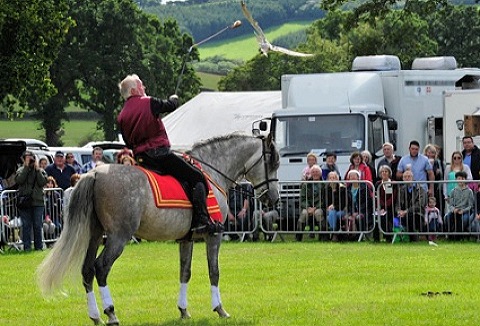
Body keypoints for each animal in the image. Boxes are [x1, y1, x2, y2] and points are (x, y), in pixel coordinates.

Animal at [37, 134, 280, 324]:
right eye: (274, 162)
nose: (274, 199)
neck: (212, 173)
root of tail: (95, 174)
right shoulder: (214, 235)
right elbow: (214, 272)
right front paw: (220, 309)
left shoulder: (186, 239)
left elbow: (185, 272)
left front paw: (183, 311)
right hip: (118, 237)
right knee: (101, 268)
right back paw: (111, 313)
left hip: (95, 235)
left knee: (87, 270)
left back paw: (96, 316)